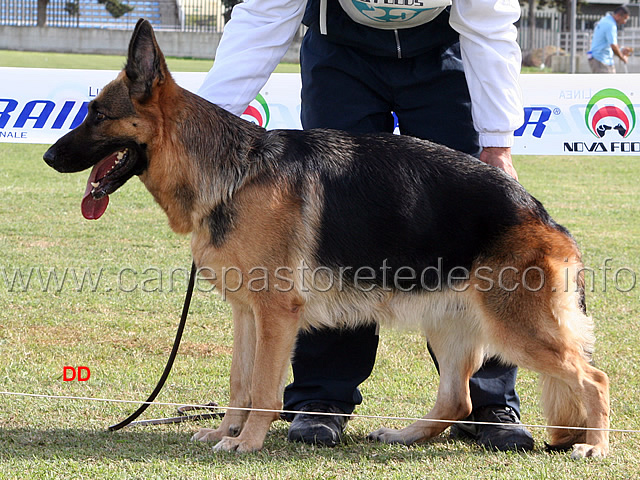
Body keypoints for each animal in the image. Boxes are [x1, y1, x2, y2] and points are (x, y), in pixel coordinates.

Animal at [45, 19, 608, 458]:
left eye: (98, 115)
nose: (49, 157)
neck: (234, 172)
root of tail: (543, 215)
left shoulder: (275, 314)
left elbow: (264, 387)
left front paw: (247, 442)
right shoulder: (246, 312)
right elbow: (239, 381)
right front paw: (226, 432)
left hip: (516, 327)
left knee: (592, 379)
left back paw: (596, 446)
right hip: (449, 322)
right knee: (457, 400)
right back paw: (405, 436)